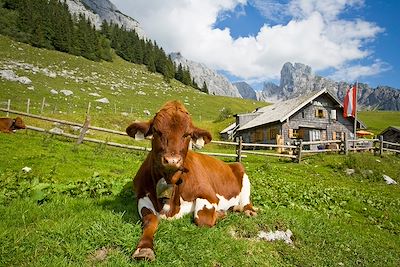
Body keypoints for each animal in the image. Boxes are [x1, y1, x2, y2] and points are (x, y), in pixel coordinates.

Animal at [126, 100, 258, 262]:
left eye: (187, 134)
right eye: (156, 131)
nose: (172, 160)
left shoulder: (209, 195)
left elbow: (202, 219)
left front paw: (220, 214)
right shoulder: (142, 196)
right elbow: (151, 220)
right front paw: (144, 248)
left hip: (242, 174)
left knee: (246, 202)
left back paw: (246, 210)